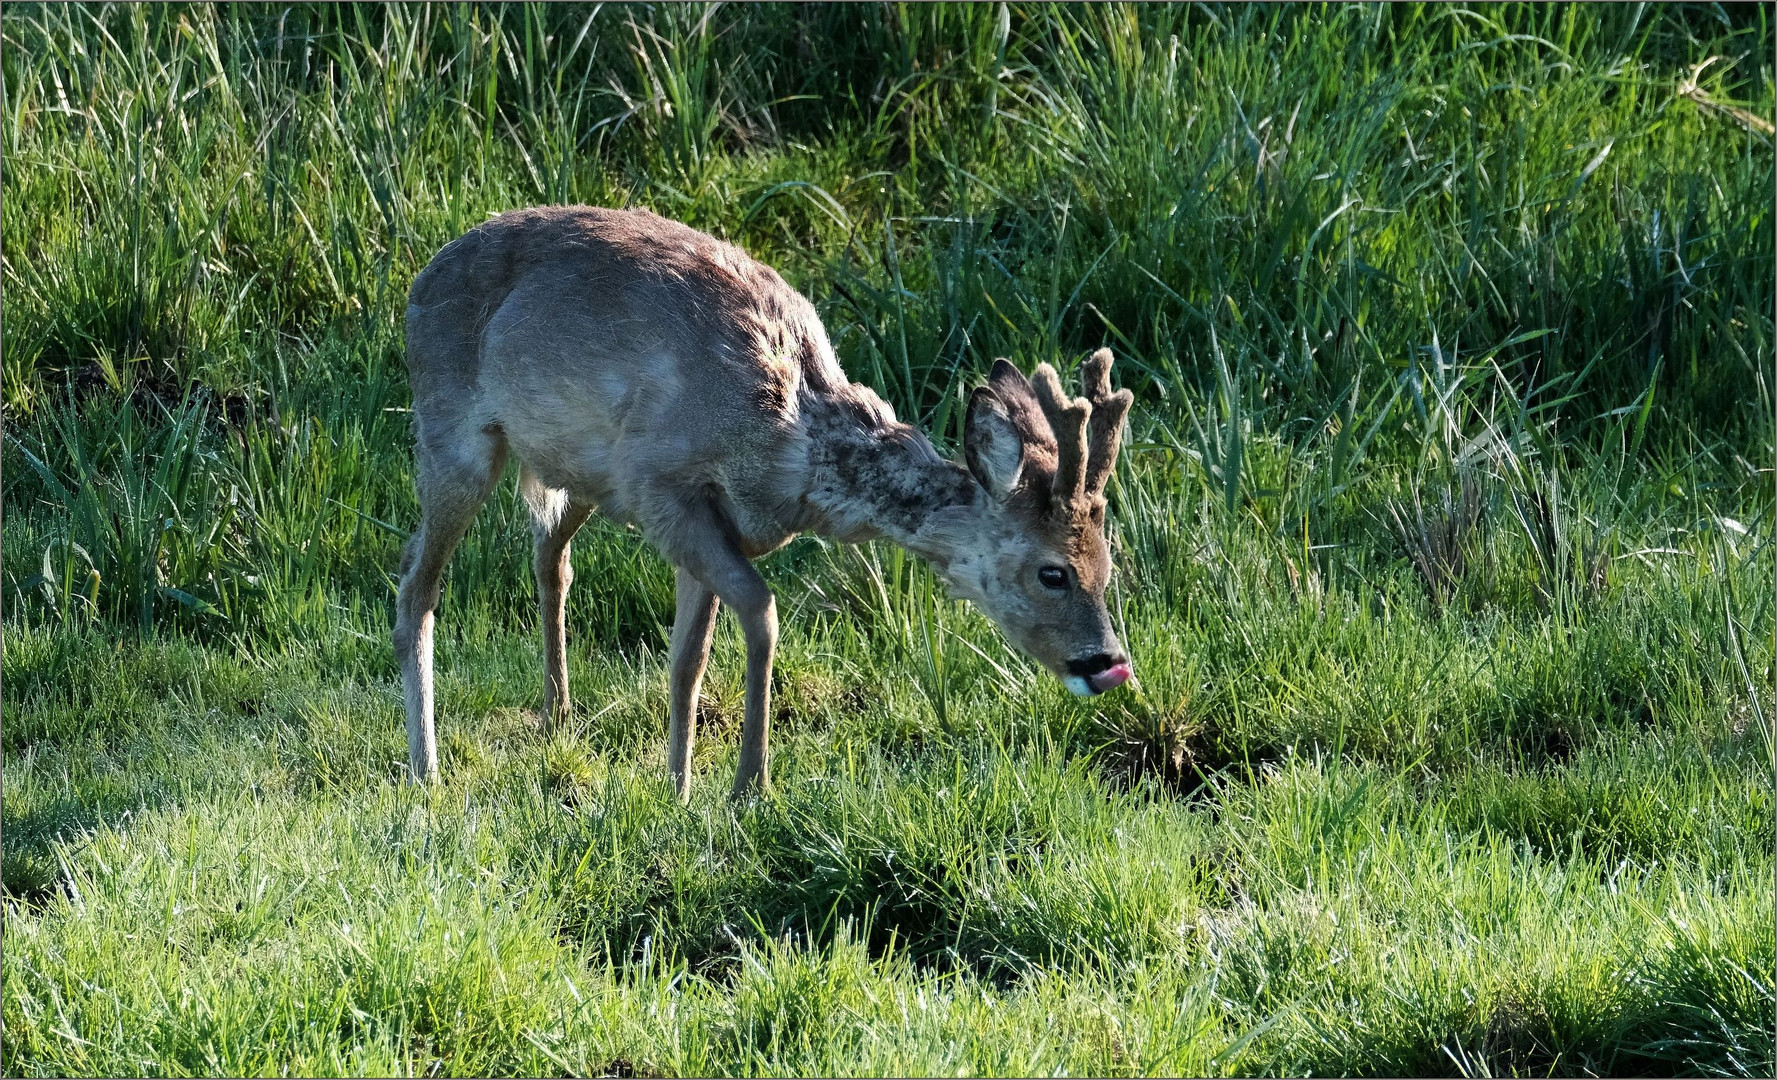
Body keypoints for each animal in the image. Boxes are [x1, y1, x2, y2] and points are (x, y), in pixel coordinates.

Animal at [398, 204, 1130, 792]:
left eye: (1107, 565)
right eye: (1053, 572)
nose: (1107, 663)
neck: (793, 444)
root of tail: (421, 277)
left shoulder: (714, 519)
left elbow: (686, 658)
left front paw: (678, 787)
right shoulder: (662, 486)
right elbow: (762, 612)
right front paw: (747, 786)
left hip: (576, 470)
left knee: (549, 551)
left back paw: (558, 715)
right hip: (455, 430)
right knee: (416, 584)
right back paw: (426, 768)